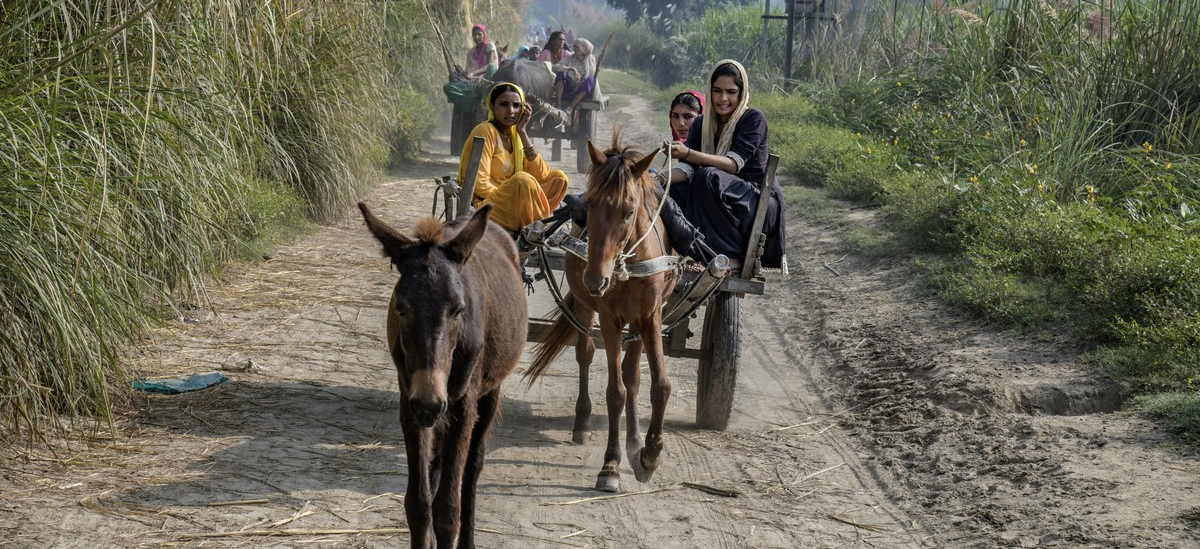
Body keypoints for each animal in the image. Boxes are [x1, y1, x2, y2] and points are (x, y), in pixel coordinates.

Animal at [359, 203, 528, 549]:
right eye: (400, 308)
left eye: (459, 310)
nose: (430, 402)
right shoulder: (409, 403)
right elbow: (418, 504)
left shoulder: (462, 405)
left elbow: (448, 509)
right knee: (437, 463)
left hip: (489, 393)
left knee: (473, 467)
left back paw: (469, 540)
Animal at [523, 134, 678, 493]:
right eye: (590, 206)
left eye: (629, 211)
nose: (595, 279)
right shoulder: (609, 318)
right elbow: (614, 391)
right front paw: (610, 466)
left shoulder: (650, 316)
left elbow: (658, 385)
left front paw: (649, 453)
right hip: (585, 308)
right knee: (585, 354)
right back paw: (582, 423)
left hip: (635, 324)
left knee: (632, 374)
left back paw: (634, 442)